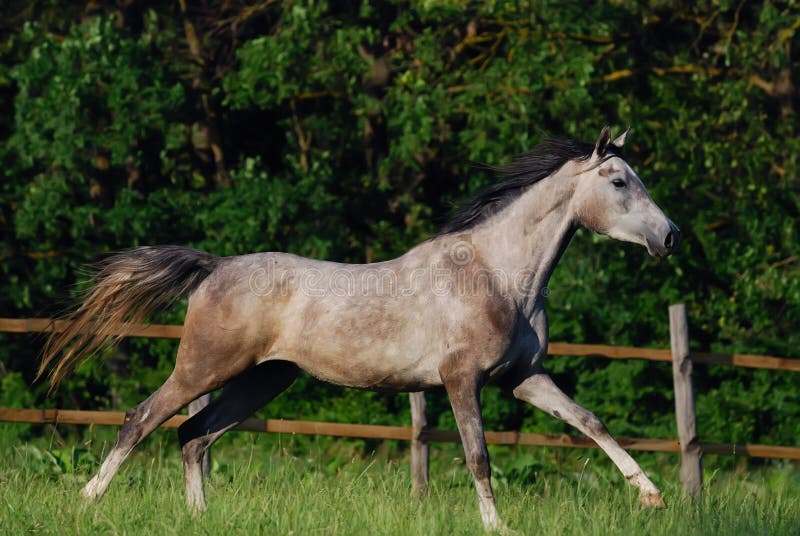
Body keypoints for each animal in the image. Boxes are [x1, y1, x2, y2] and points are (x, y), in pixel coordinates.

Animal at [39, 127, 679, 532]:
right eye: (619, 182)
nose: (670, 237)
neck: (499, 275)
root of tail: (215, 267)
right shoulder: (461, 381)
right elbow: (478, 456)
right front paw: (498, 526)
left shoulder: (523, 379)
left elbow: (590, 422)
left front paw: (651, 496)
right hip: (205, 367)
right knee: (143, 419)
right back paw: (86, 502)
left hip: (263, 380)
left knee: (193, 436)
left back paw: (201, 518)